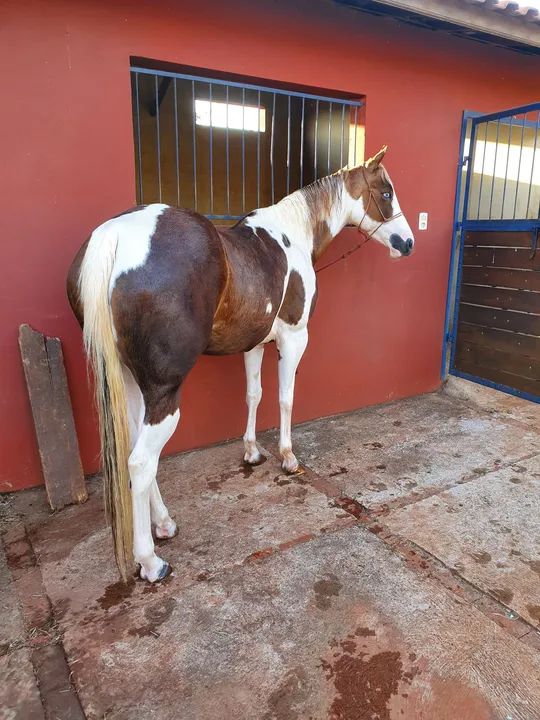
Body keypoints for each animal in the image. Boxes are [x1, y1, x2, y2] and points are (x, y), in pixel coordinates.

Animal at [67, 145, 414, 583]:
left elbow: (254, 394)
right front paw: (287, 457)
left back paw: (164, 524)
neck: (291, 236)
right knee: (141, 462)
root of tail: (114, 234)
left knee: (135, 452)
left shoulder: (255, 344)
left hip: (131, 382)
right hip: (163, 392)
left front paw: (251, 451)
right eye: (386, 192)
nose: (408, 243)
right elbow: (284, 398)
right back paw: (150, 560)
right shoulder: (294, 339)